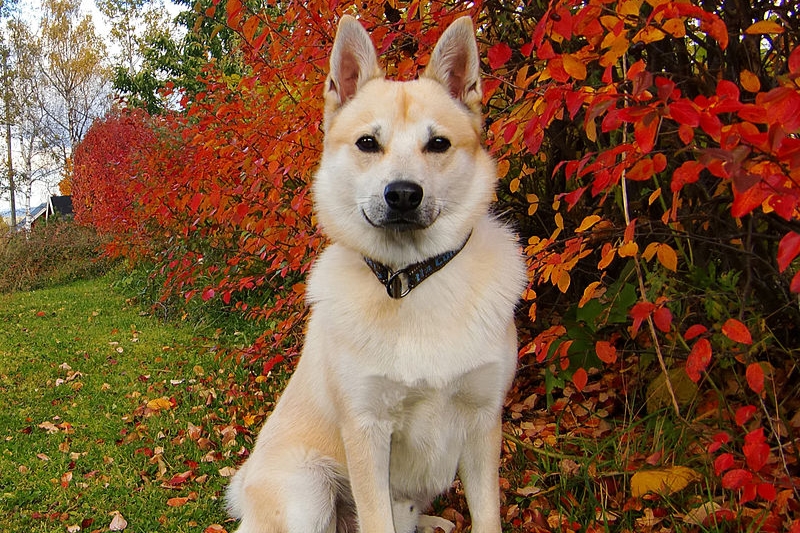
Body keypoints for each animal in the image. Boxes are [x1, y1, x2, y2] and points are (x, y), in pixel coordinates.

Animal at [225, 14, 524, 528]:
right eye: (368, 143)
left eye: (438, 144)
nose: (402, 194)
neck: (412, 279)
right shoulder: (366, 431)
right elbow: (376, 517)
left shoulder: (484, 420)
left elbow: (487, 515)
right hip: (309, 493)